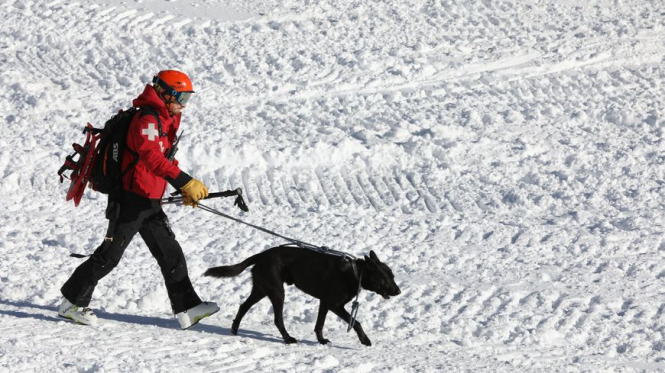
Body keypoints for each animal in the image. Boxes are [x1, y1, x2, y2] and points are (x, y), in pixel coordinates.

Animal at [202, 244, 400, 346]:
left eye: (393, 276)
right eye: (385, 278)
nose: (398, 291)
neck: (354, 273)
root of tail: (261, 255)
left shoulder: (324, 303)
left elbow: (319, 324)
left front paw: (321, 340)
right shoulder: (335, 305)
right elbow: (356, 322)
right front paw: (365, 340)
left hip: (261, 289)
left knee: (243, 306)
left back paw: (235, 329)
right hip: (277, 292)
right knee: (277, 319)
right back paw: (288, 339)